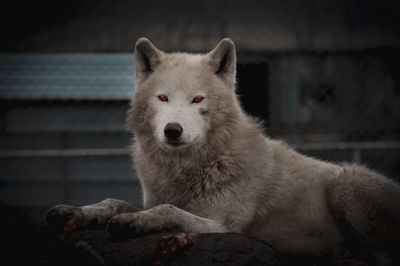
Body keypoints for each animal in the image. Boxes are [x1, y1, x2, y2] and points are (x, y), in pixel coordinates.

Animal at [48, 37, 398, 264]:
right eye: (163, 98)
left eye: (197, 99)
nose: (173, 130)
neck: (192, 166)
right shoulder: (154, 198)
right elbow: (115, 201)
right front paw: (76, 212)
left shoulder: (224, 227)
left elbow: (167, 211)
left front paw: (133, 222)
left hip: (346, 184)